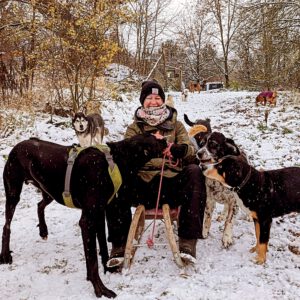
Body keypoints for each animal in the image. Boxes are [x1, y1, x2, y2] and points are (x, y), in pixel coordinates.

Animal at [198, 132, 300, 264]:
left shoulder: (263, 218)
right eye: (201, 144)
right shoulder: (210, 199)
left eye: (213, 144)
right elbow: (208, 218)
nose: (199, 154)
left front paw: (259, 259)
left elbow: (233, 224)